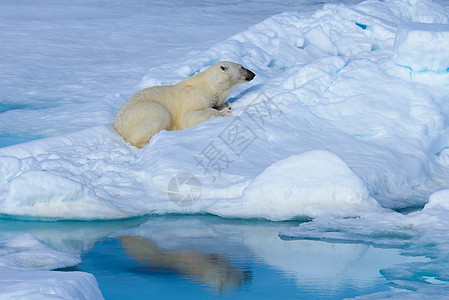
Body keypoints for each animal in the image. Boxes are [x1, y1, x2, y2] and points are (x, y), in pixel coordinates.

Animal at [112, 61, 254, 148]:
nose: (253, 74)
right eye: (242, 67)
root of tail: (118, 127)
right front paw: (227, 111)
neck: (208, 87)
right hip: (146, 111)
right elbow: (188, 118)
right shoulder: (193, 97)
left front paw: (225, 105)